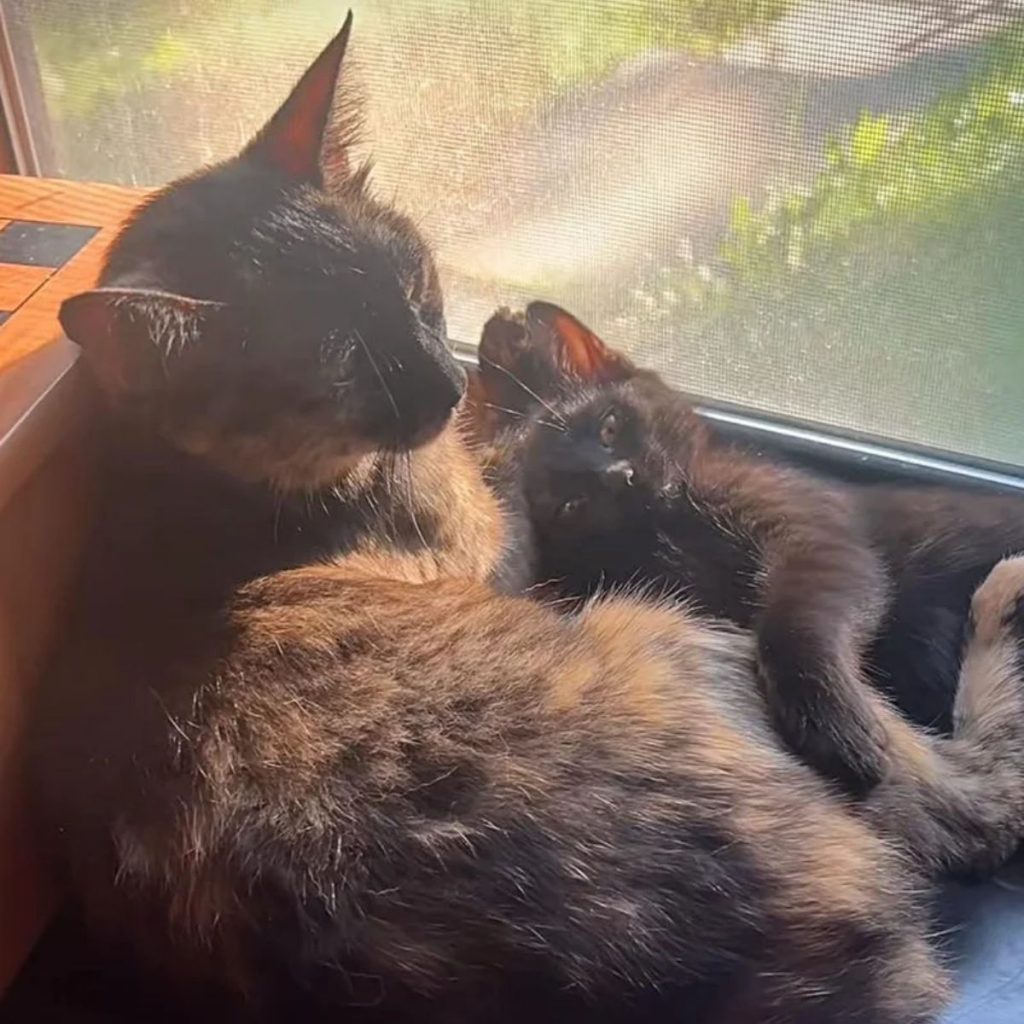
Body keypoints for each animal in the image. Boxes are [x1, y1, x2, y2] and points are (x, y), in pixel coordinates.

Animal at [475, 299, 1024, 786]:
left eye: (609, 426)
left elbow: (793, 620)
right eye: (573, 504)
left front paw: (833, 723)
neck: (674, 525)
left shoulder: (814, 535)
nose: (621, 477)